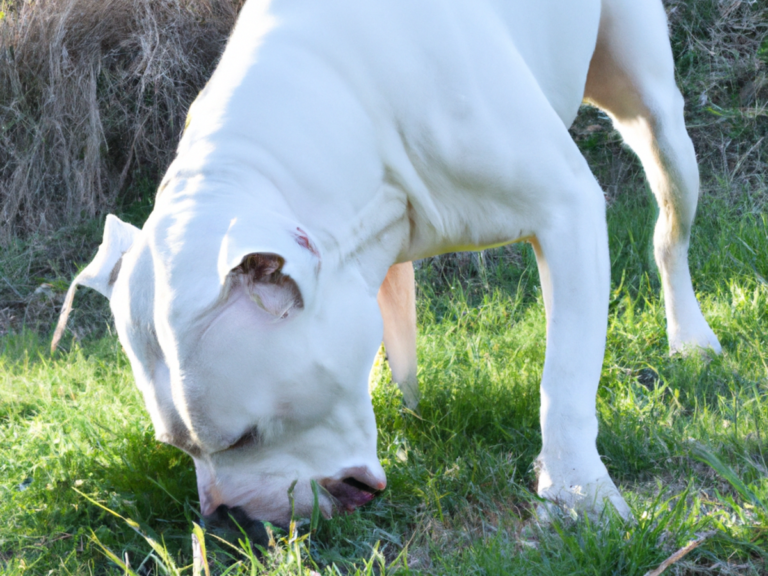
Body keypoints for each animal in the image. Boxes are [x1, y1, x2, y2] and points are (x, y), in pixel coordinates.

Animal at [54, 0, 720, 528]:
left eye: (243, 437)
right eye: (178, 447)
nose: (228, 519)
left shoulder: (567, 210)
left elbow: (566, 379)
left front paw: (578, 491)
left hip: (656, 117)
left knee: (669, 229)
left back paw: (690, 336)